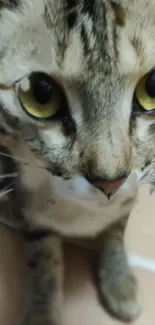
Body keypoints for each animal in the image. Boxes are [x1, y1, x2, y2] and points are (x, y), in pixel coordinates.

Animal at [0, 0, 155, 322]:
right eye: (41, 95)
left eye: (153, 87)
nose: (111, 182)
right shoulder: (29, 205)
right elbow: (44, 258)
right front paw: (42, 313)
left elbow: (116, 230)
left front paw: (118, 278)